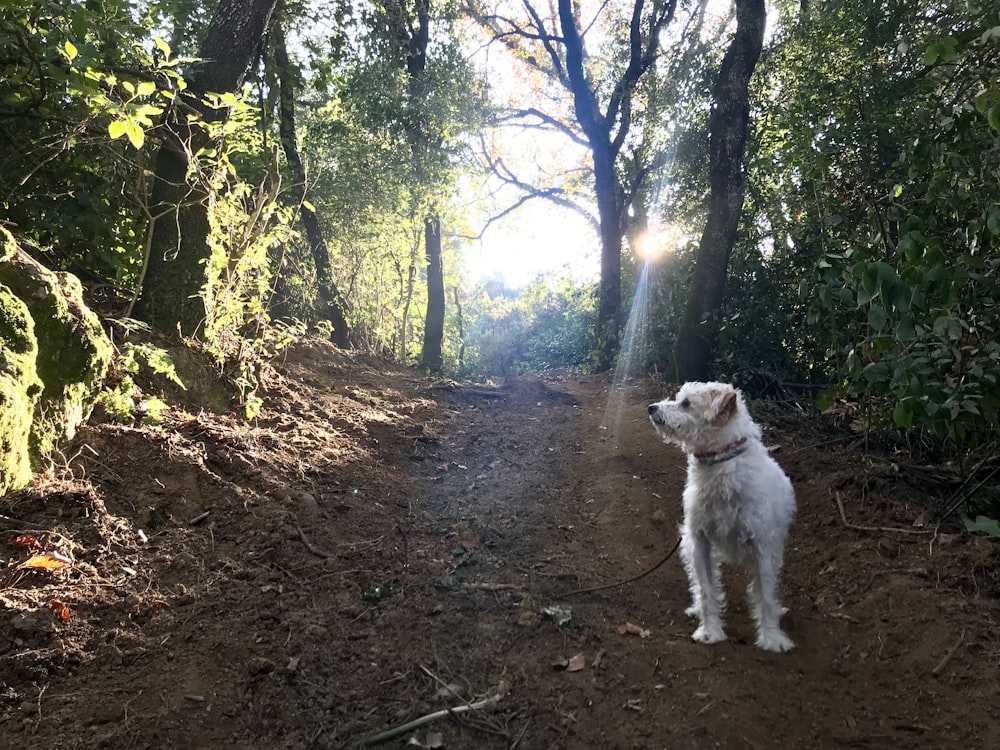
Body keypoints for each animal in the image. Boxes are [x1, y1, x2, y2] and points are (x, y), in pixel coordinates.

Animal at [648, 382, 796, 652]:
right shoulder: (700, 544)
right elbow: (707, 591)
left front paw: (772, 638)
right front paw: (710, 631)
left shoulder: (763, 549)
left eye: (686, 403)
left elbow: (767, 597)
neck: (719, 467)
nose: (651, 407)